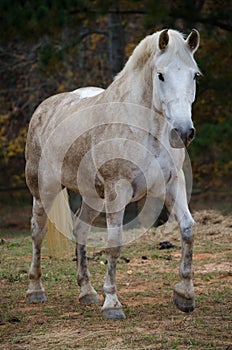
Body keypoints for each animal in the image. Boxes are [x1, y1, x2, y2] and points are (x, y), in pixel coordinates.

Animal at [24, 29, 199, 320]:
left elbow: (187, 228)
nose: (183, 132)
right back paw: (35, 290)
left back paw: (87, 292)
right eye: (160, 75)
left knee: (81, 229)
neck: (143, 128)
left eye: (194, 75)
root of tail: (45, 109)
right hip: (44, 190)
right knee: (38, 231)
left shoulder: (173, 184)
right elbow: (114, 243)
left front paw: (185, 295)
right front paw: (113, 304)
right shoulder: (118, 189)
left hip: (93, 196)